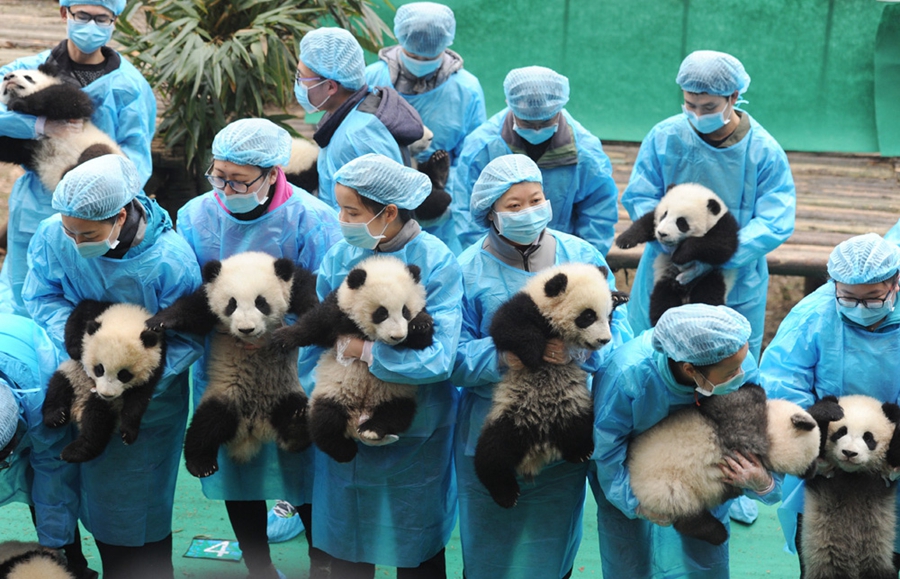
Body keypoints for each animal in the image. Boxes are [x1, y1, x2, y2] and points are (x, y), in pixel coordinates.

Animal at [616, 182, 740, 326]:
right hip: (666, 279)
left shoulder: (724, 225)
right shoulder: (655, 219)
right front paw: (624, 240)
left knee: (709, 296)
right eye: (664, 214)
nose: (662, 233)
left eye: (681, 222)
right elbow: (647, 221)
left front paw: (680, 255)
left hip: (711, 276)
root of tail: (685, 296)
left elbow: (720, 246)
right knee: (662, 300)